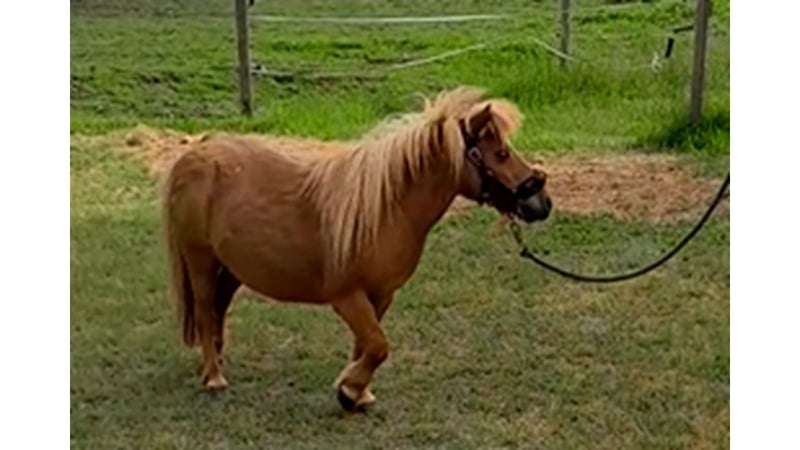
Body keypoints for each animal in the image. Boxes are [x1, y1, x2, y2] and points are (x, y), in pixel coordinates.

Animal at [160, 86, 552, 411]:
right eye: (500, 153)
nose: (542, 202)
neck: (386, 209)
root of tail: (191, 157)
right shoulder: (347, 297)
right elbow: (378, 346)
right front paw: (349, 387)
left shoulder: (379, 296)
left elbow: (365, 345)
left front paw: (357, 393)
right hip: (200, 261)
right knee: (207, 311)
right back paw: (214, 377)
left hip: (232, 268)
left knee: (219, 310)